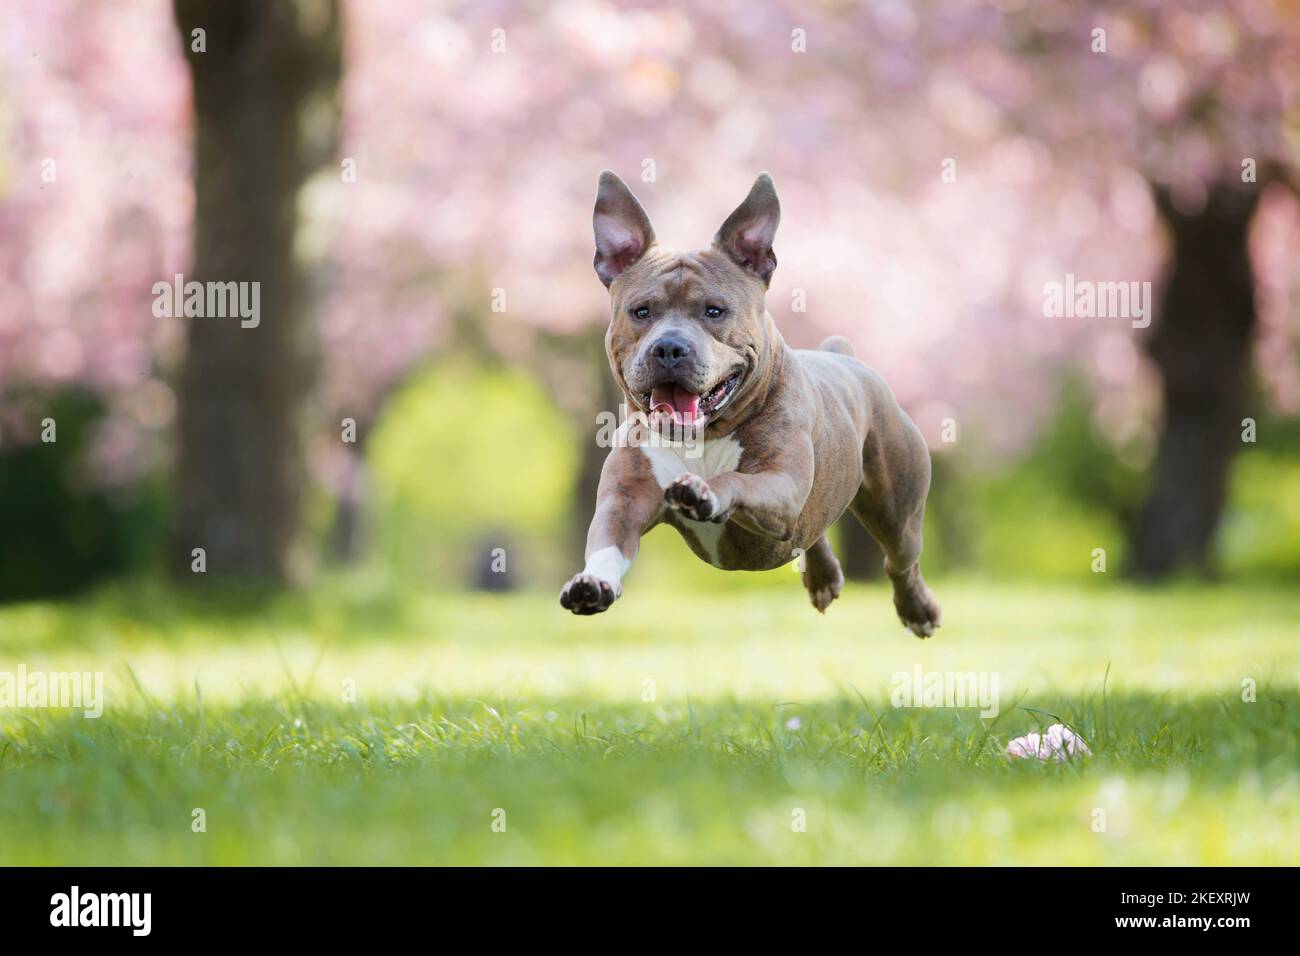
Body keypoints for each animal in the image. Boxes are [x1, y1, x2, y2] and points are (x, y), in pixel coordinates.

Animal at [553, 171, 941, 634]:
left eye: (714, 311)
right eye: (641, 311)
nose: (669, 347)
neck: (700, 436)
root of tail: (844, 356)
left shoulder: (780, 483)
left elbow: (735, 480)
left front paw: (703, 491)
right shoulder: (625, 499)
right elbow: (607, 542)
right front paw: (593, 583)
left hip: (896, 507)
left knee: (900, 561)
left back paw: (918, 610)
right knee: (813, 532)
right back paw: (823, 577)